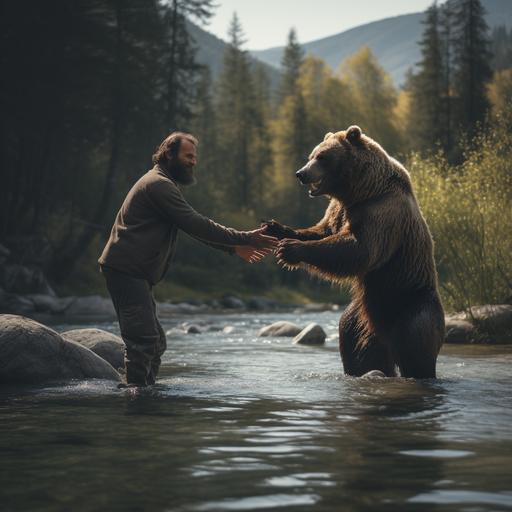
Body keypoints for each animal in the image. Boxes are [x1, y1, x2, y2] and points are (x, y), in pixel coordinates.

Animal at [264, 126, 444, 378]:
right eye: (312, 155)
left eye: (322, 157)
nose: (301, 173)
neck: (360, 191)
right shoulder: (339, 211)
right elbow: (321, 232)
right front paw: (276, 228)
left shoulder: (382, 212)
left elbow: (359, 249)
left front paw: (290, 249)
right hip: (361, 317)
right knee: (355, 341)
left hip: (410, 304)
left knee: (416, 349)